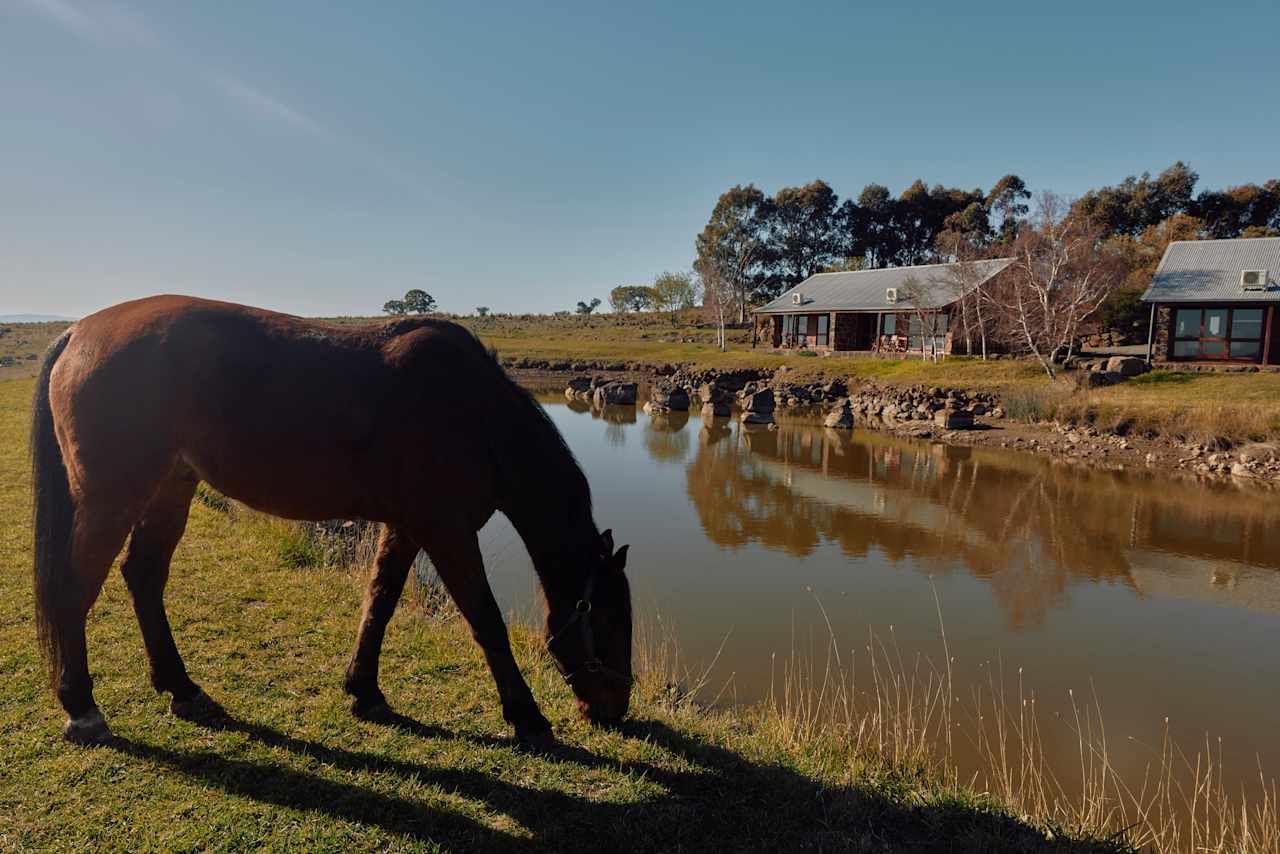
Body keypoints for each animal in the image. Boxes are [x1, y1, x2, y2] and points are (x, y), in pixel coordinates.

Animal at [28, 295, 629, 747]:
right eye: (609, 620)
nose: (616, 708)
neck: (475, 415)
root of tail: (78, 333)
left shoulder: (407, 527)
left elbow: (380, 601)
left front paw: (364, 690)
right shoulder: (447, 532)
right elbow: (485, 620)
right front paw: (527, 718)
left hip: (170, 489)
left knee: (144, 576)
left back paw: (183, 689)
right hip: (112, 498)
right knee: (76, 589)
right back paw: (83, 709)